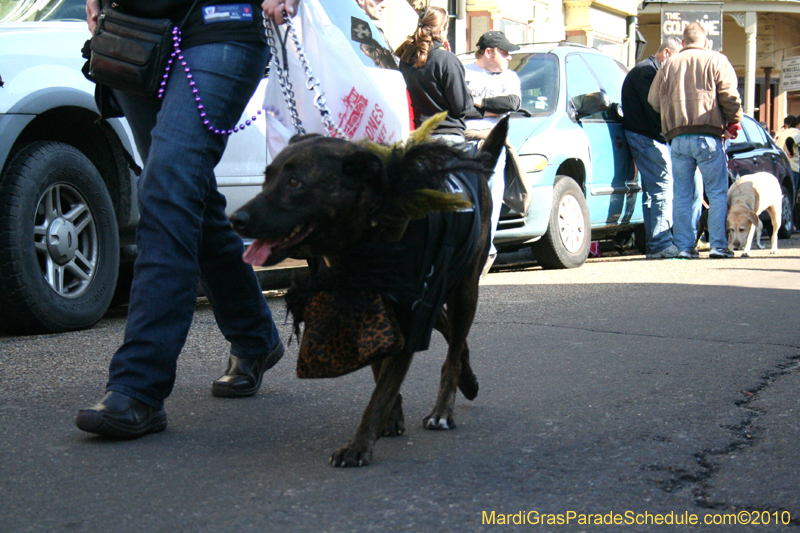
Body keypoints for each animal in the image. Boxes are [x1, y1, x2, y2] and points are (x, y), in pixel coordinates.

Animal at [228, 116, 510, 466]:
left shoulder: (410, 319)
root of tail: (472, 162)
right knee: (454, 338)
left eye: (294, 182)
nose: (235, 219)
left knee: (455, 349)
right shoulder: (377, 307)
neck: (367, 233)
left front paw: (359, 445)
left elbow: (382, 390)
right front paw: (391, 418)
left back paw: (444, 409)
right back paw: (467, 382)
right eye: (267, 179)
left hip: (463, 290)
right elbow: (379, 372)